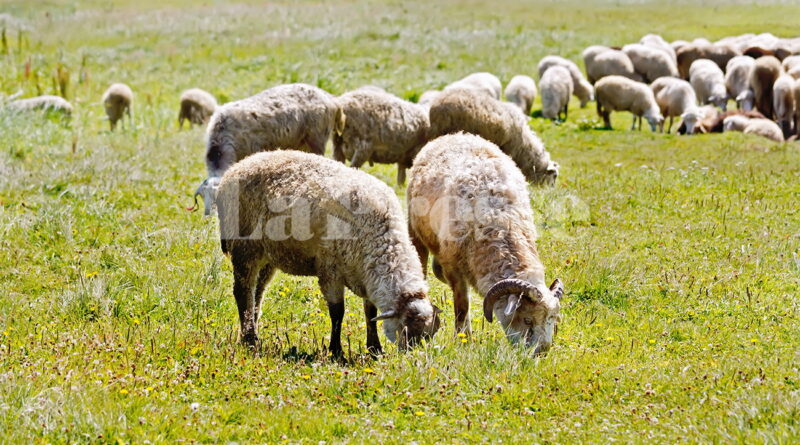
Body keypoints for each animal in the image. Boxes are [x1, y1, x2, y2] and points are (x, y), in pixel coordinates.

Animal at [216, 150, 441, 352]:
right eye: (407, 331)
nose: (412, 358)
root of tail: (239, 165)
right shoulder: (330, 270)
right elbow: (337, 312)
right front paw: (336, 350)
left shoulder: (365, 274)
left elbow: (370, 313)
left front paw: (374, 349)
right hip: (244, 248)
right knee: (243, 291)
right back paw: (250, 340)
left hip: (267, 255)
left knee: (257, 292)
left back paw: (251, 332)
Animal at [406, 133, 563, 352]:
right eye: (527, 320)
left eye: (553, 320)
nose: (541, 351)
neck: (499, 224)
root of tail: (456, 134)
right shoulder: (454, 267)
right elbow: (462, 306)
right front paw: (463, 338)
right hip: (416, 231)